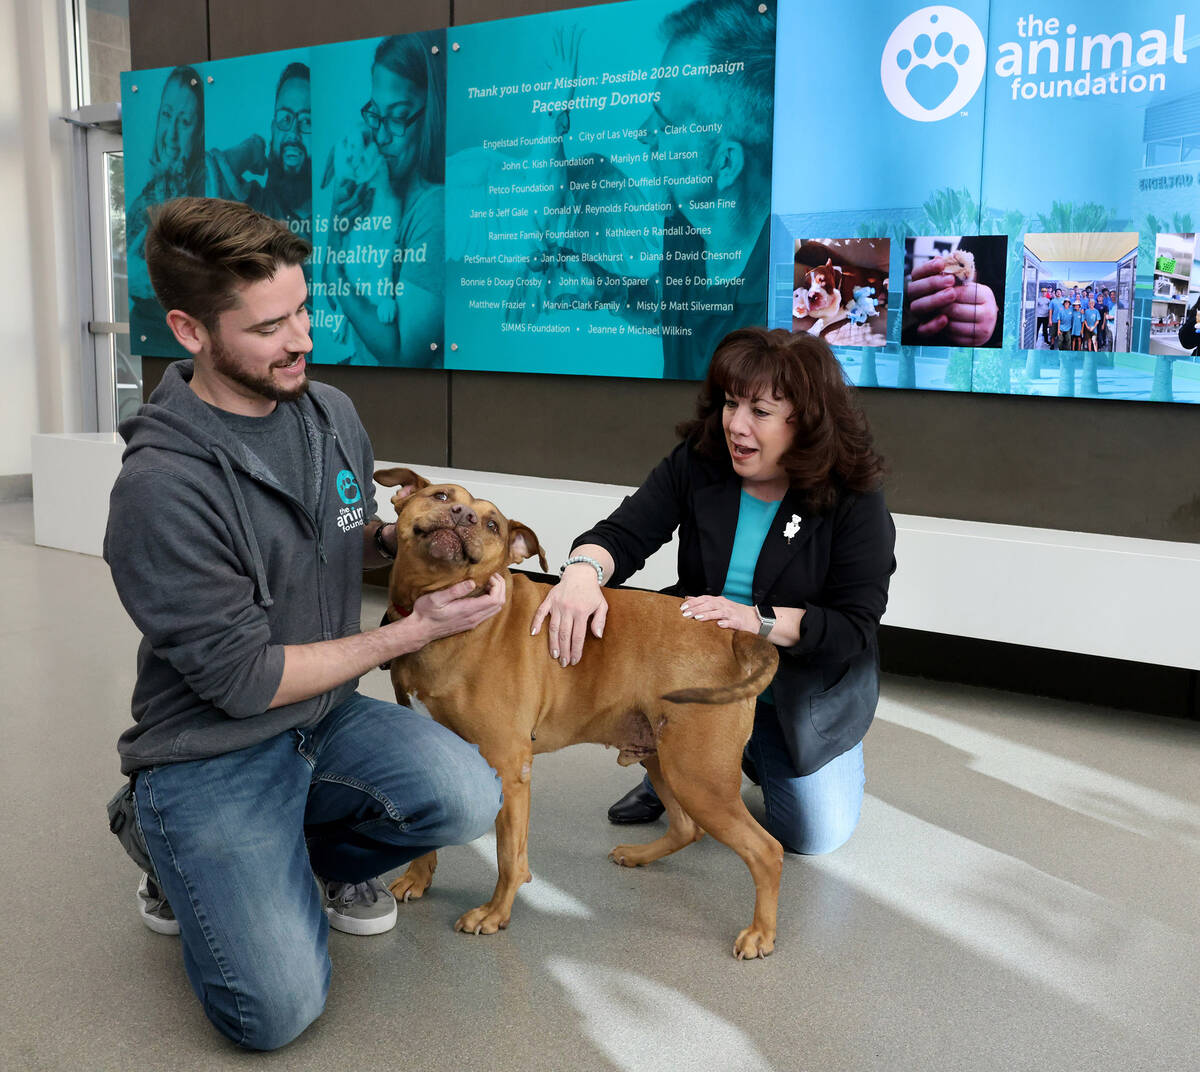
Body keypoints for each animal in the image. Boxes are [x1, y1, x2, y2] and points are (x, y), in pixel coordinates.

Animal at [376, 463, 787, 955]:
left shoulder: (509, 766)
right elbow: (432, 837)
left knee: (766, 851)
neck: (451, 623)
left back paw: (761, 932)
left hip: (698, 775)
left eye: (493, 525)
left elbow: (508, 856)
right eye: (440, 496)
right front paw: (418, 878)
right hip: (663, 760)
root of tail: (734, 634)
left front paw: (496, 913)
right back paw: (639, 856)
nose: (463, 516)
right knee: (688, 828)